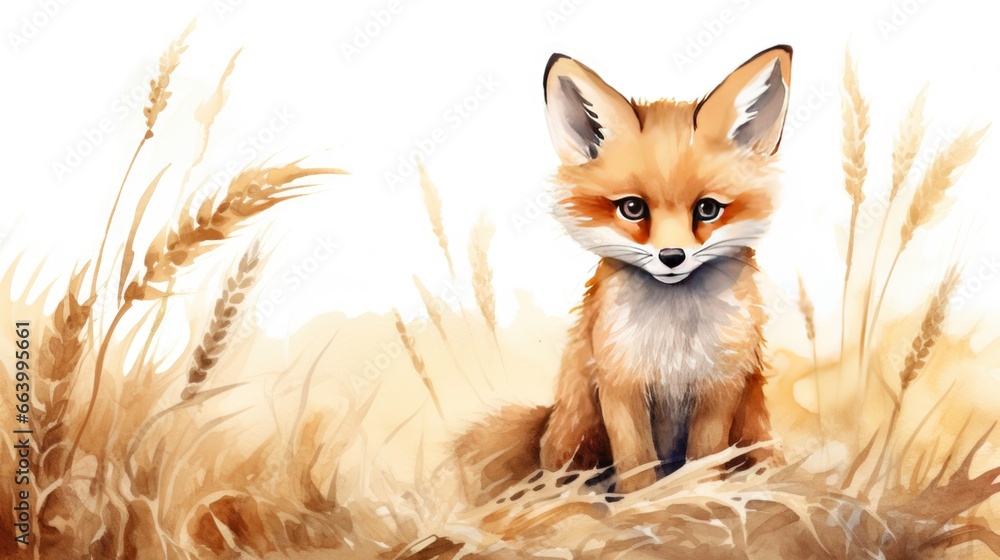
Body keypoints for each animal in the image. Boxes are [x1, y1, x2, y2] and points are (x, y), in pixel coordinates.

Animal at [455, 45, 791, 502]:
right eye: (633, 208)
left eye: (707, 209)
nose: (672, 256)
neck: (674, 340)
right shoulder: (620, 384)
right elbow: (636, 466)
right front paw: (640, 507)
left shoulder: (719, 385)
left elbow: (705, 460)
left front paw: (696, 500)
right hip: (575, 437)